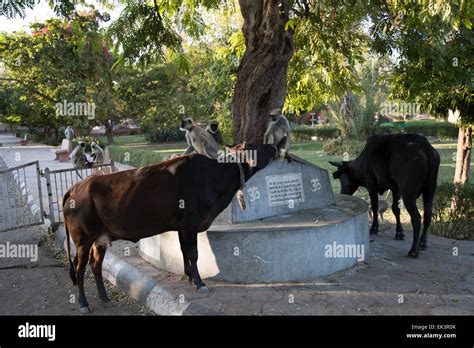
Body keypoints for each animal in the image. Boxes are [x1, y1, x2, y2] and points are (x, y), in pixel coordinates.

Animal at [63, 142, 278, 312]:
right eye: (257, 147)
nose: (275, 146)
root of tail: (76, 187)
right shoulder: (190, 223)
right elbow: (193, 254)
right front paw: (199, 282)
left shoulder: (182, 227)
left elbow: (184, 252)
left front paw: (190, 277)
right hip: (82, 239)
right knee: (80, 268)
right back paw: (83, 304)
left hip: (100, 239)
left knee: (95, 265)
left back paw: (104, 298)